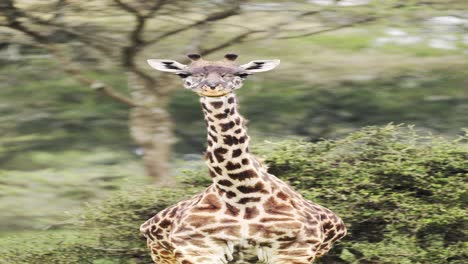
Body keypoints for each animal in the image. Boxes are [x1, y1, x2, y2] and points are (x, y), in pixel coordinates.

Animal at [141, 52, 346, 262]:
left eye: (241, 74)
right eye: (184, 74)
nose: (213, 87)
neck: (242, 194)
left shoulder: (297, 249)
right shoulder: (195, 248)